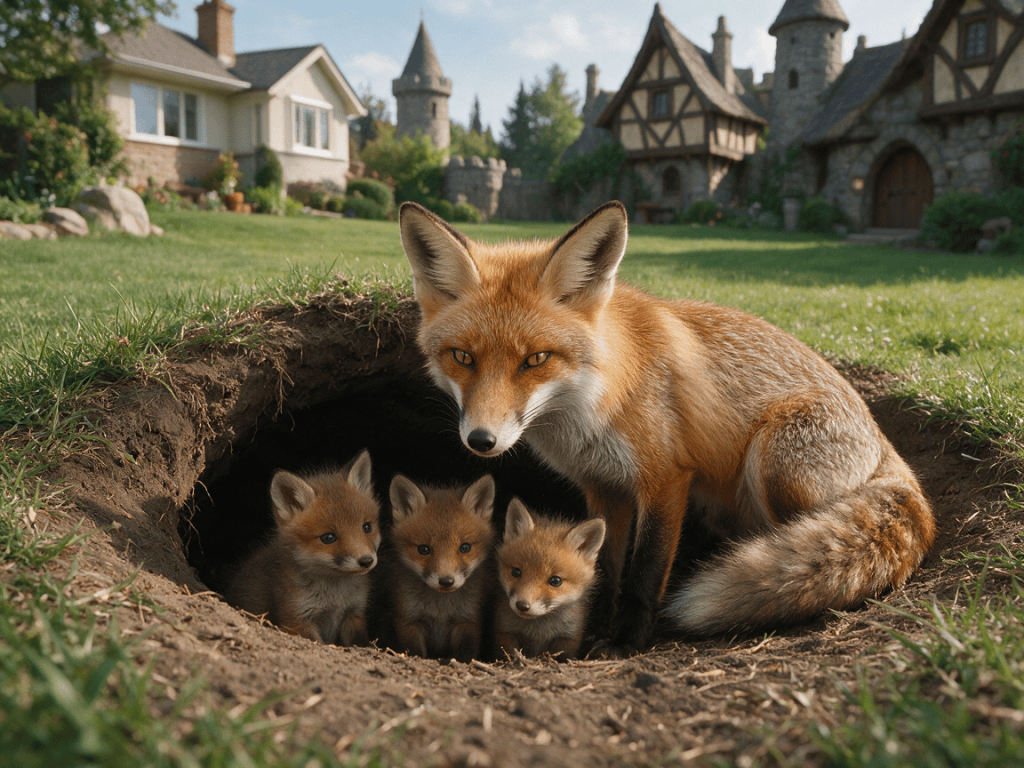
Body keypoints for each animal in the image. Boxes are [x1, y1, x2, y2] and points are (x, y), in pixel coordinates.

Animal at [224, 450, 381, 646]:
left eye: (367, 527)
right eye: (328, 538)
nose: (366, 561)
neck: (335, 597)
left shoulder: (354, 614)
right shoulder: (296, 619)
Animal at [385, 473, 496, 661]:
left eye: (465, 547)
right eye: (423, 549)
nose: (446, 581)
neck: (440, 612)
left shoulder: (467, 620)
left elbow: (465, 652)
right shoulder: (408, 620)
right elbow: (415, 651)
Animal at [493, 499, 606, 659]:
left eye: (555, 581)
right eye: (516, 572)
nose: (522, 605)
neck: (538, 631)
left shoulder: (568, 638)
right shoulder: (505, 632)